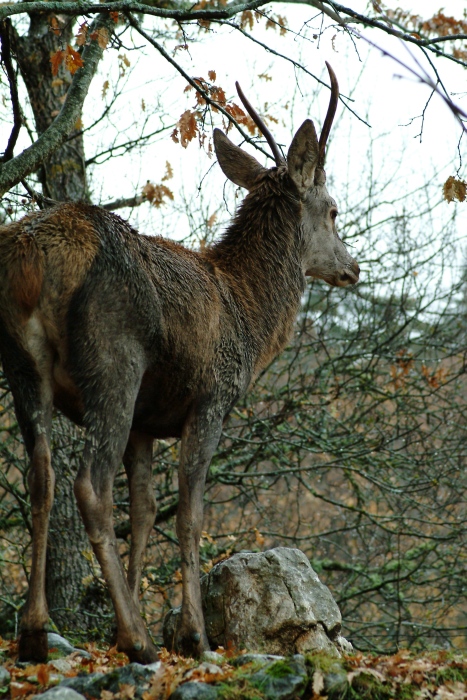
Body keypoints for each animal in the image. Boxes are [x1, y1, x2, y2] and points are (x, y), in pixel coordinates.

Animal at [0, 64, 360, 660]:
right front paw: (194, 635)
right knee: (89, 485)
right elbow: (191, 512)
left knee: (41, 475)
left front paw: (135, 616)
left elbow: (146, 512)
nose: (353, 267)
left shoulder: (146, 424)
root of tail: (33, 254)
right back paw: (136, 640)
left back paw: (36, 630)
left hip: (21, 364)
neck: (249, 316)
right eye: (333, 210)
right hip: (113, 360)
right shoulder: (212, 398)